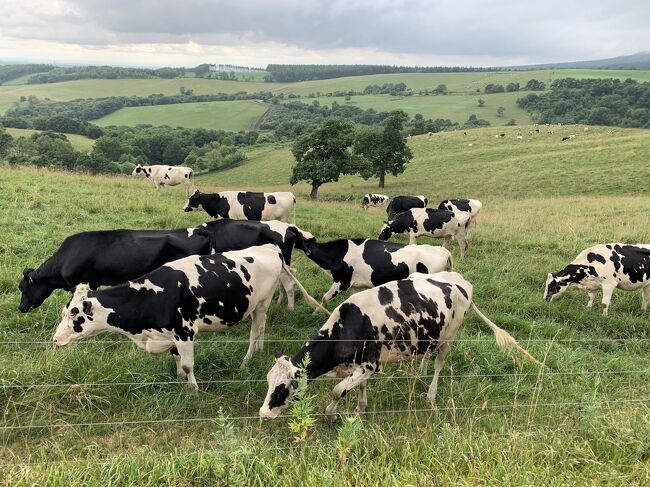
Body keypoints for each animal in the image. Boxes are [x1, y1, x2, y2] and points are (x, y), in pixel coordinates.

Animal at [51, 246, 326, 390]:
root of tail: (270, 247)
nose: (55, 339)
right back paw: (257, 353)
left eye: (74, 314)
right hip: (258, 306)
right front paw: (180, 381)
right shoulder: (170, 336)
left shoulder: (185, 333)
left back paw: (246, 361)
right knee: (261, 329)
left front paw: (193, 389)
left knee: (255, 332)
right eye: (64, 311)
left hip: (261, 302)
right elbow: (177, 361)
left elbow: (187, 364)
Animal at [258, 272, 536, 422]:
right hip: (430, 334)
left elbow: (338, 391)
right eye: (269, 382)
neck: (346, 328)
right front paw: (361, 409)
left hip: (450, 336)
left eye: (284, 387)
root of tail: (457, 278)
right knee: (428, 353)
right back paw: (421, 372)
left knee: (440, 363)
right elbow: (358, 388)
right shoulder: (362, 365)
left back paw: (431, 393)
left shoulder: (369, 364)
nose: (262, 413)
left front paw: (331, 414)